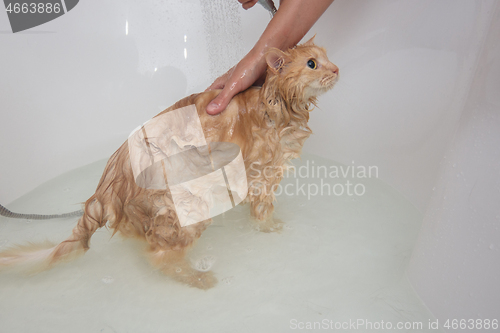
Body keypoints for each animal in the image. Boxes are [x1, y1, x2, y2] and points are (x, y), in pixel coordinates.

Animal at [0, 37, 340, 288]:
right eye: (312, 63)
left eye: (326, 57)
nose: (337, 69)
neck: (276, 105)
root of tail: (105, 186)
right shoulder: (262, 175)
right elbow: (263, 211)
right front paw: (271, 227)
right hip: (185, 208)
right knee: (160, 256)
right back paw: (198, 278)